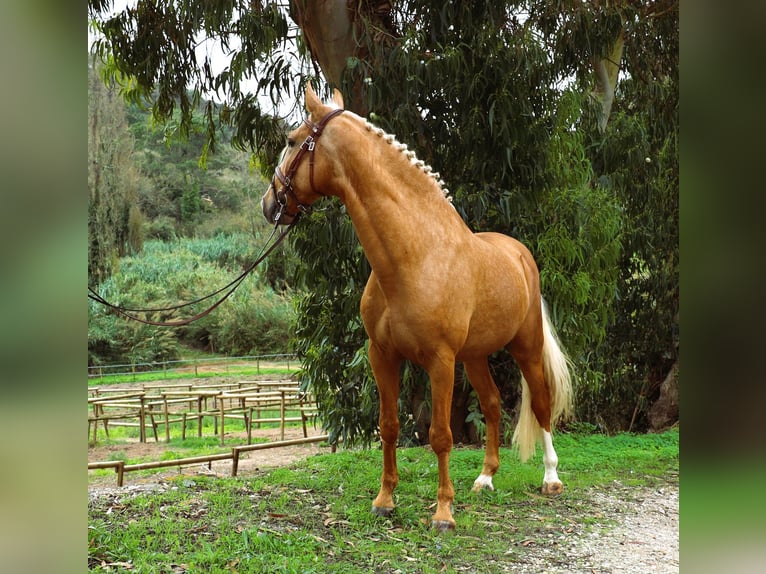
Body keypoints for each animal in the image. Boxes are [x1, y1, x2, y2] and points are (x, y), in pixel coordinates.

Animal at [260, 84, 572, 532]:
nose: (270, 203)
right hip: (475, 356)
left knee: (542, 403)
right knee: (493, 405)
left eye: (290, 140)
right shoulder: (383, 355)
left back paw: (550, 478)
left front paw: (443, 513)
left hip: (525, 347)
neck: (414, 256)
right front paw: (385, 500)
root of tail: (519, 254)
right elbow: (389, 427)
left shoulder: (440, 361)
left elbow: (440, 435)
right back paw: (485, 479)